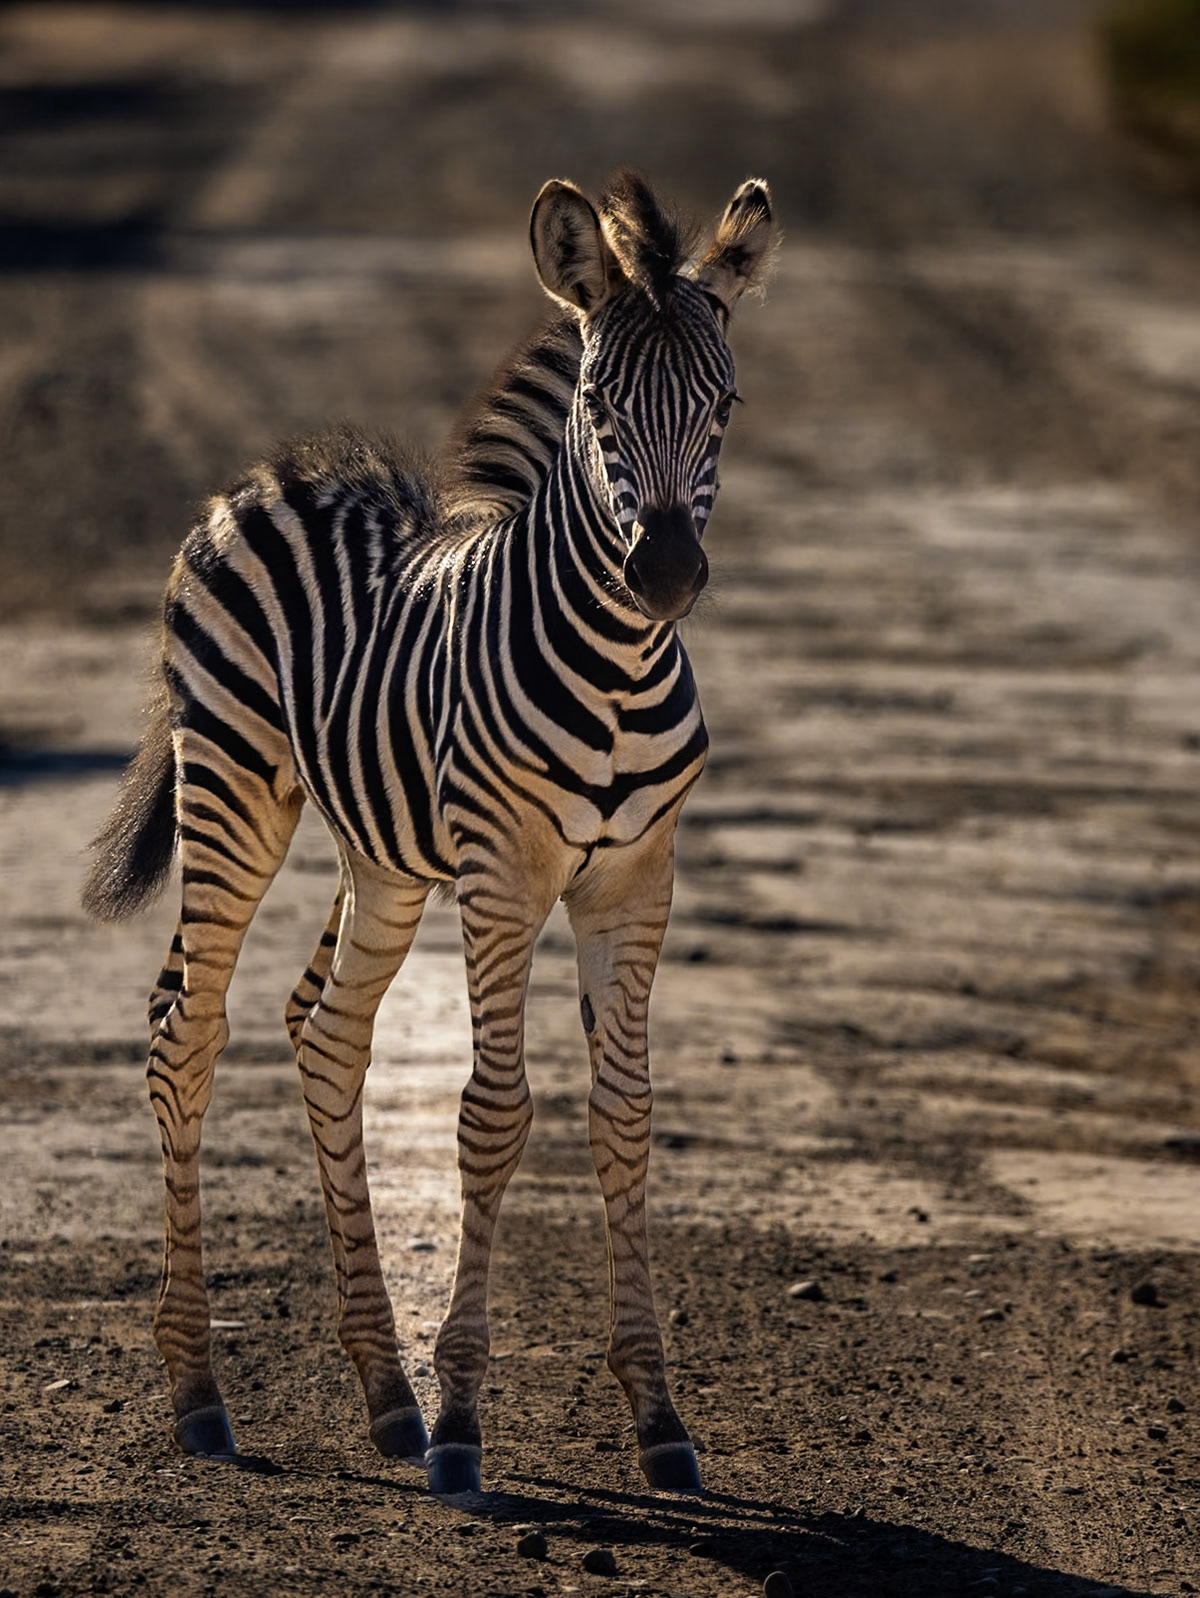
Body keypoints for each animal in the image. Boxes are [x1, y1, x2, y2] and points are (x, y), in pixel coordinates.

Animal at [83, 169, 774, 1495]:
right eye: (600, 405)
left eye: (724, 404)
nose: (665, 574)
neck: (620, 664)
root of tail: (277, 470)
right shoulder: (503, 875)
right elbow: (494, 1115)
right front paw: (463, 1419)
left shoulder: (635, 882)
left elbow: (625, 1115)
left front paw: (657, 1415)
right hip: (233, 780)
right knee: (185, 1032)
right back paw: (202, 1395)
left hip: (385, 857)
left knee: (325, 1033)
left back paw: (384, 1395)